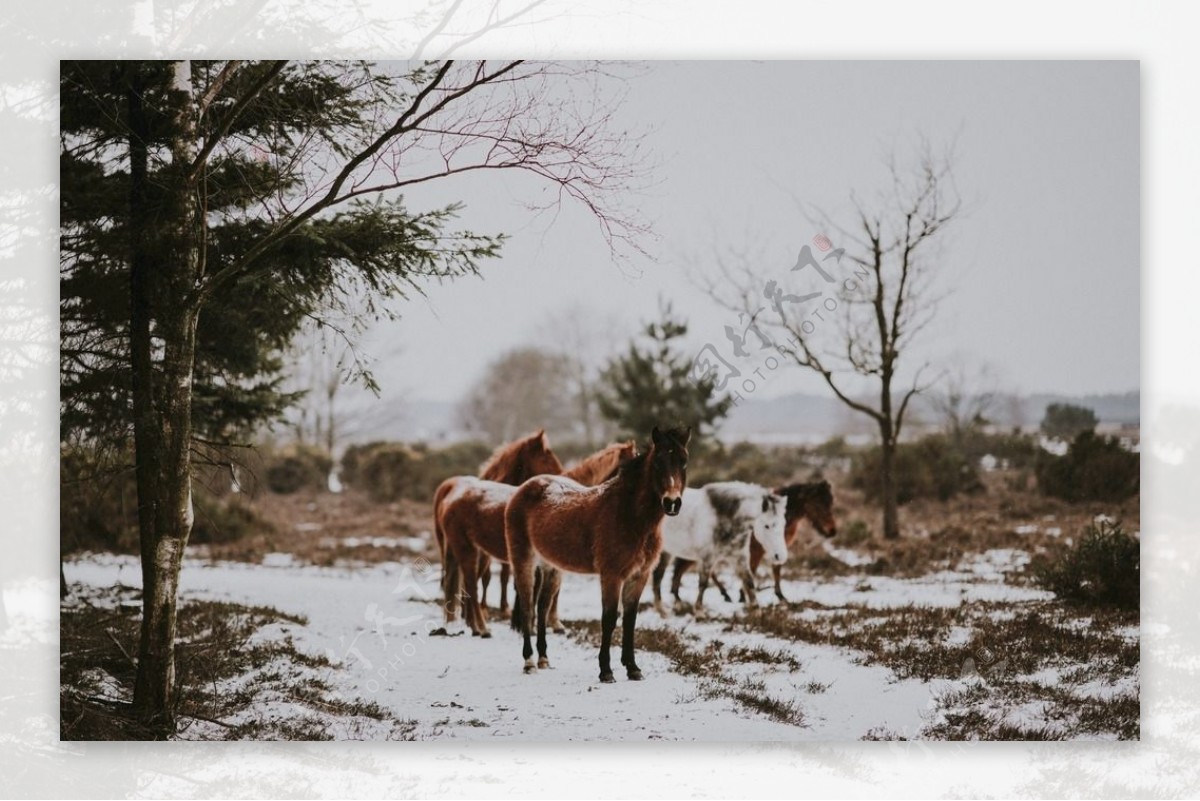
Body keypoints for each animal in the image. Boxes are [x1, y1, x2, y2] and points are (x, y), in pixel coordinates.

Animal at [506, 424, 696, 681]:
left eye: (683, 461)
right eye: (658, 462)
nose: (672, 502)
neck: (629, 516)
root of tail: (525, 488)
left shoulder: (639, 576)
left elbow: (629, 620)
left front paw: (633, 668)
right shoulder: (612, 575)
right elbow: (609, 619)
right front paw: (606, 671)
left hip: (551, 567)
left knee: (542, 608)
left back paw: (544, 658)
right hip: (523, 560)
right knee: (527, 607)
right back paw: (528, 661)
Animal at [652, 482, 792, 613]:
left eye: (783, 523)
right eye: (767, 526)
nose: (780, 556)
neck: (723, 518)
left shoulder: (739, 558)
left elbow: (749, 582)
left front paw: (757, 613)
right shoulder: (706, 558)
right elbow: (703, 584)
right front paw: (699, 612)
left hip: (666, 552)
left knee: (658, 576)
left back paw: (663, 610)